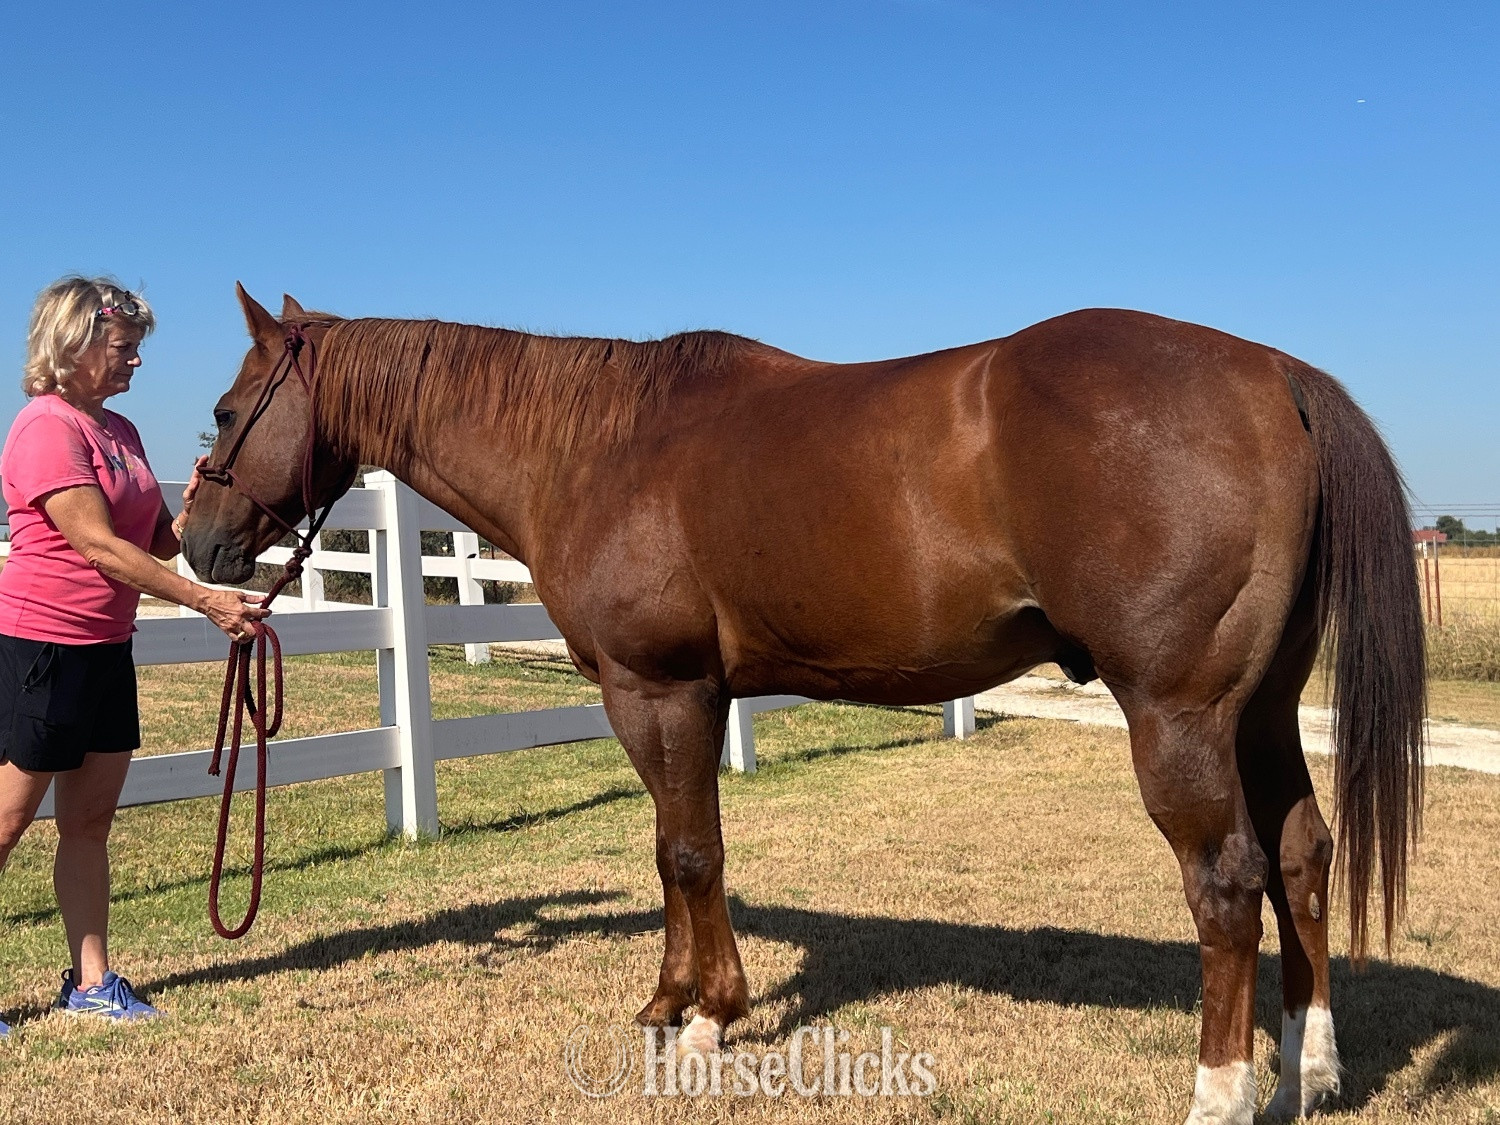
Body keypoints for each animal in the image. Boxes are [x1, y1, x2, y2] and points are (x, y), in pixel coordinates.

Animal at [183, 285, 1424, 1125]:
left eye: (228, 409)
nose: (195, 544)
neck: (594, 444)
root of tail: (1276, 376)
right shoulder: (665, 699)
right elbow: (670, 849)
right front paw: (667, 1003)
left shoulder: (662, 689)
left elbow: (690, 852)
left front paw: (707, 1022)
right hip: (1260, 710)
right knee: (1303, 854)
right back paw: (1310, 1067)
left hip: (1178, 713)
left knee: (1228, 882)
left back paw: (1221, 1092)